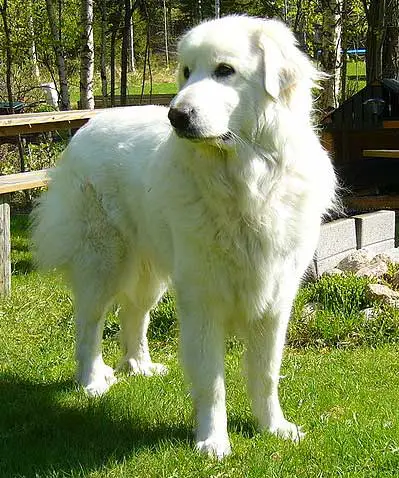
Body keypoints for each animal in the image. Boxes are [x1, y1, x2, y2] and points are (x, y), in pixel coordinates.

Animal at [32, 15, 338, 460]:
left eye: (224, 71)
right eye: (186, 72)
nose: (176, 115)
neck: (246, 182)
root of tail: (89, 123)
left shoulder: (274, 300)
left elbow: (266, 374)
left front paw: (274, 428)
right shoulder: (203, 300)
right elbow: (212, 382)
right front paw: (213, 442)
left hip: (152, 273)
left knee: (134, 314)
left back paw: (139, 366)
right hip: (103, 262)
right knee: (89, 323)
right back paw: (91, 381)